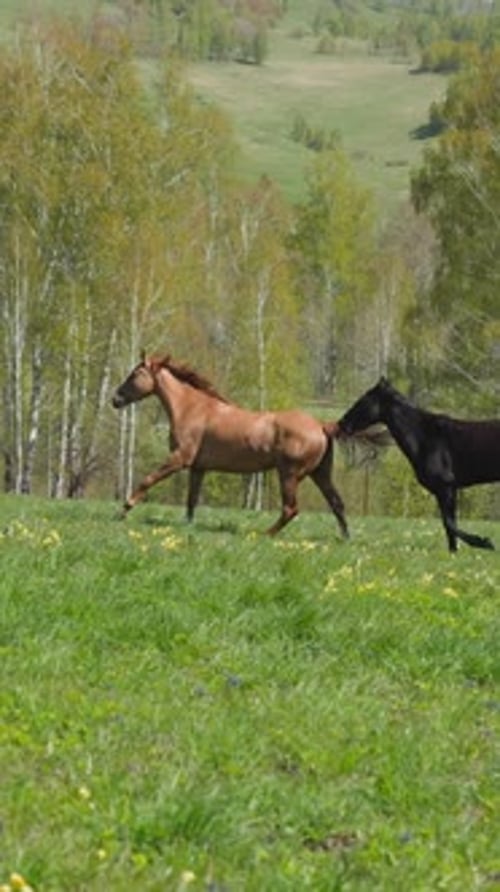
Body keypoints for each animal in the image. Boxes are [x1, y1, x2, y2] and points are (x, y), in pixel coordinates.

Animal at [112, 353, 349, 538]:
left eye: (135, 374)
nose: (115, 399)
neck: (192, 408)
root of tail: (321, 425)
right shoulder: (198, 467)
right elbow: (191, 499)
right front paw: (188, 525)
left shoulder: (179, 459)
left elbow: (147, 480)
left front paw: (124, 510)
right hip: (320, 473)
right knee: (336, 503)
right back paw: (345, 538)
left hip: (289, 474)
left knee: (291, 509)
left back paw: (264, 534)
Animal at [338, 376, 500, 552]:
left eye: (363, 400)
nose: (342, 423)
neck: (424, 437)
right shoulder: (443, 490)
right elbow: (449, 524)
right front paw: (454, 551)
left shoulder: (447, 487)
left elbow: (449, 523)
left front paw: (484, 543)